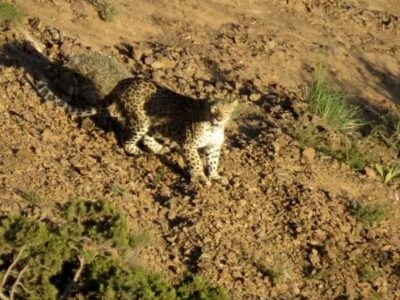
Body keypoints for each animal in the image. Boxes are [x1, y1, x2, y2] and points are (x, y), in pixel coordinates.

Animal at [26, 73, 239, 185]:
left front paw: (215, 176)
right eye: (213, 110)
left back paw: (159, 148)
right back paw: (138, 151)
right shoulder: (189, 144)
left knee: (146, 137)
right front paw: (201, 177)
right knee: (128, 140)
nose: (219, 118)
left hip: (151, 123)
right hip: (140, 120)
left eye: (226, 111)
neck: (214, 128)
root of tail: (126, 80)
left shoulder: (213, 147)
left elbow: (213, 161)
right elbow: (195, 162)